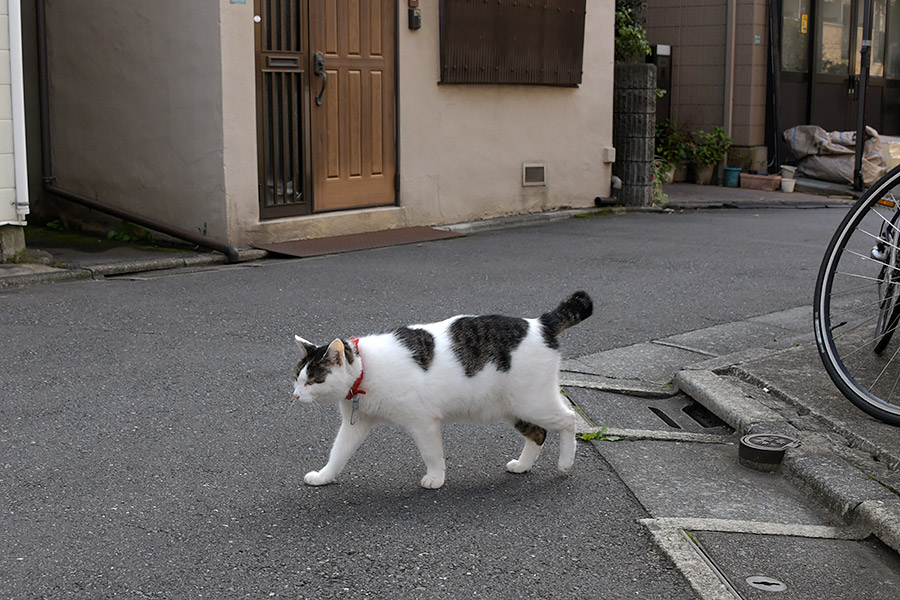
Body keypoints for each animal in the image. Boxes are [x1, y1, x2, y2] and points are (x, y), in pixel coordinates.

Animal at [292, 292, 596, 490]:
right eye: (297, 378)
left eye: (313, 381)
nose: (295, 395)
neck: (366, 368)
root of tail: (539, 323)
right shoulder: (356, 424)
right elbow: (338, 453)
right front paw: (324, 476)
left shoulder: (423, 421)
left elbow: (432, 453)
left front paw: (436, 479)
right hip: (513, 407)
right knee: (538, 433)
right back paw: (522, 466)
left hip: (532, 401)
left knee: (568, 419)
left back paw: (565, 463)